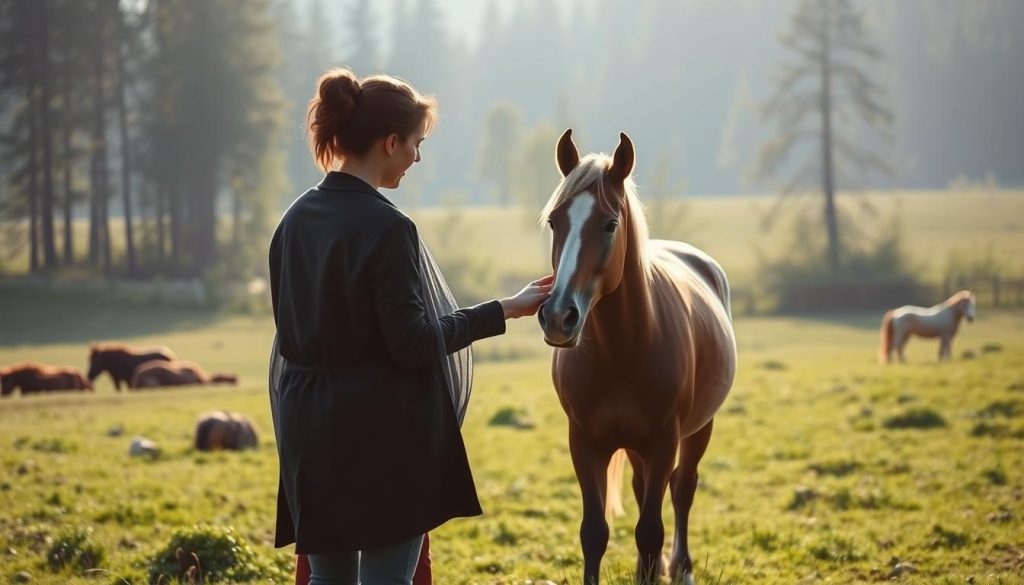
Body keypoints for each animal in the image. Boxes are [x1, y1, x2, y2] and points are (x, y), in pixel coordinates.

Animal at [536, 130, 737, 581]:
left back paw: (681, 566)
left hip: (699, 429)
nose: (558, 317)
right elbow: (594, 532)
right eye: (555, 221)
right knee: (646, 488)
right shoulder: (585, 442)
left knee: (682, 489)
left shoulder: (664, 441)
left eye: (610, 224)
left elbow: (650, 530)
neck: (621, 351)